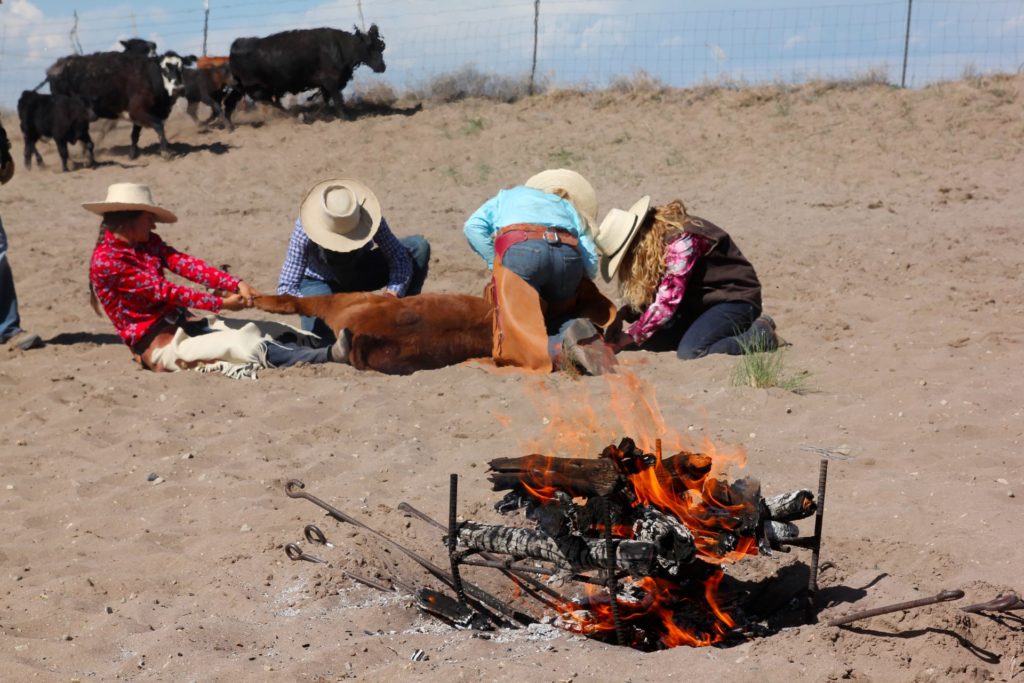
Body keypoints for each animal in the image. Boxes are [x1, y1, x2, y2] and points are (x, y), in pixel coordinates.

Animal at [46, 50, 193, 158]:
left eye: (182, 68)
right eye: (164, 69)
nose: (179, 89)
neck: (148, 76)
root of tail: (56, 67)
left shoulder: (139, 114)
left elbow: (134, 135)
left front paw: (133, 154)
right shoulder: (138, 111)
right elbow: (159, 126)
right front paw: (165, 151)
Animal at [227, 24, 385, 121]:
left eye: (381, 46)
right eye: (370, 46)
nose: (382, 66)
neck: (339, 47)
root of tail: (237, 45)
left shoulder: (326, 83)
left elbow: (327, 99)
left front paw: (326, 114)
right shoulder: (330, 80)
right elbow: (337, 99)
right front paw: (345, 117)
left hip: (242, 87)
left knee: (231, 101)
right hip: (254, 86)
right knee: (266, 100)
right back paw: (297, 116)